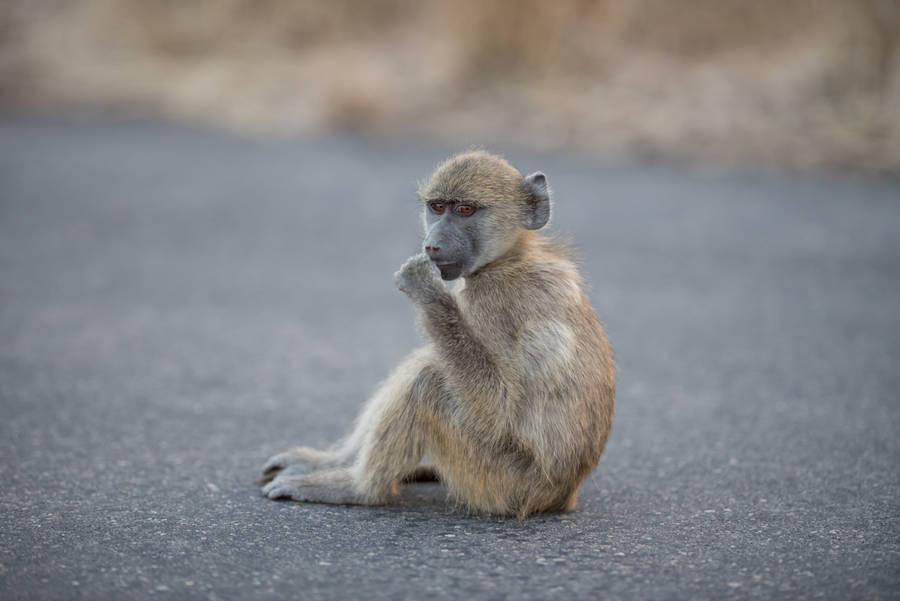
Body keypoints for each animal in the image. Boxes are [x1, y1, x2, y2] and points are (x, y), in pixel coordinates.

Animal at [256, 150, 616, 516]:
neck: (509, 258)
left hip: (499, 483)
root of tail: (561, 496)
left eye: (466, 210)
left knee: (427, 380)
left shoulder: (492, 302)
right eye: (438, 207)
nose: (432, 246)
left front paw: (423, 286)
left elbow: (496, 411)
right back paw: (333, 463)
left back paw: (358, 489)